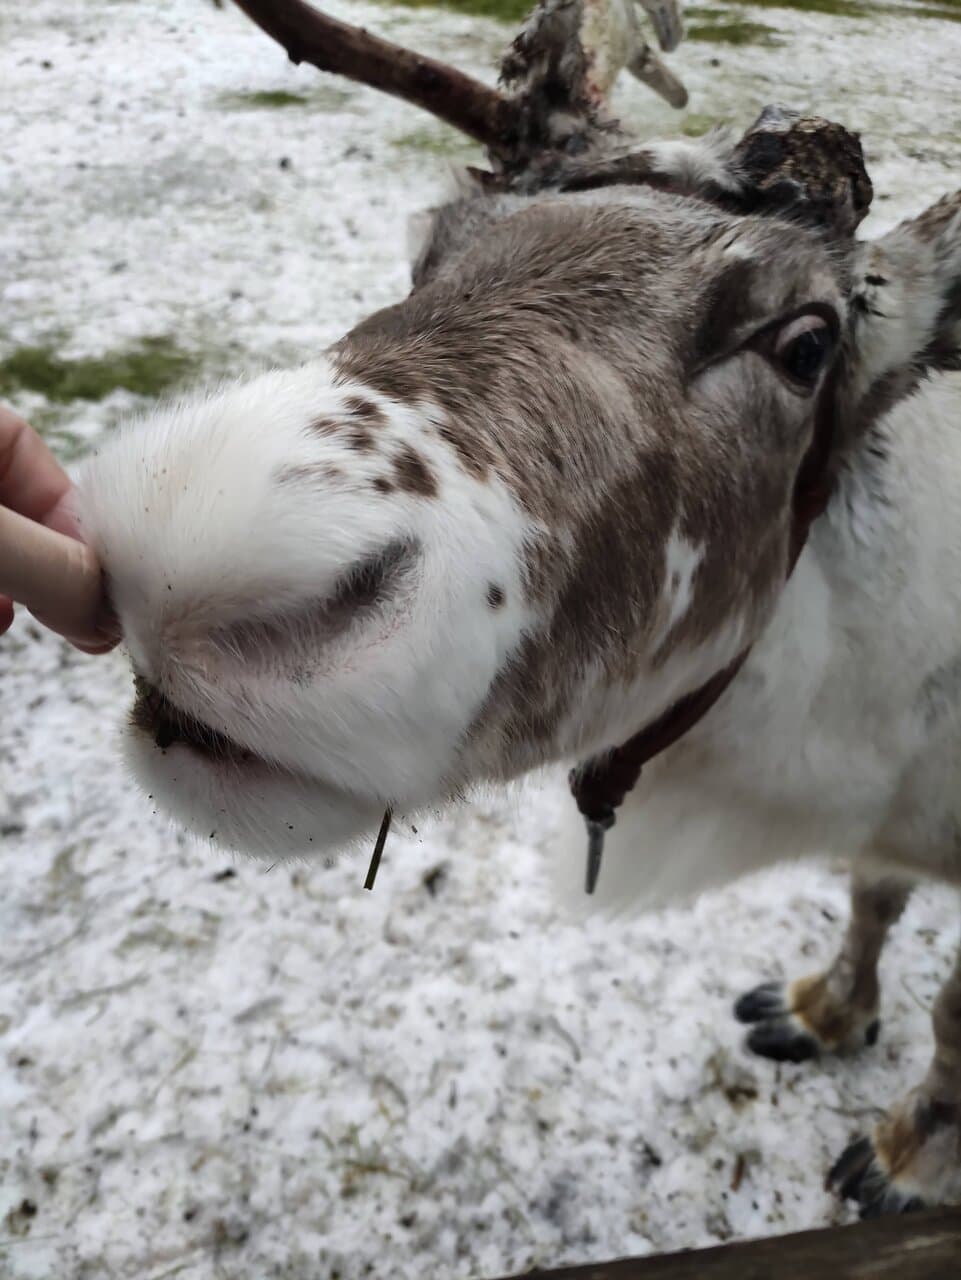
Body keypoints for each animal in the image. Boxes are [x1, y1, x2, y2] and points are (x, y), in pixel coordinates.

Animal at [69, 0, 961, 1222]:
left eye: (806, 343)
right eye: (431, 248)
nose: (183, 569)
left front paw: (902, 1157)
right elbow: (873, 897)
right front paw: (824, 1011)